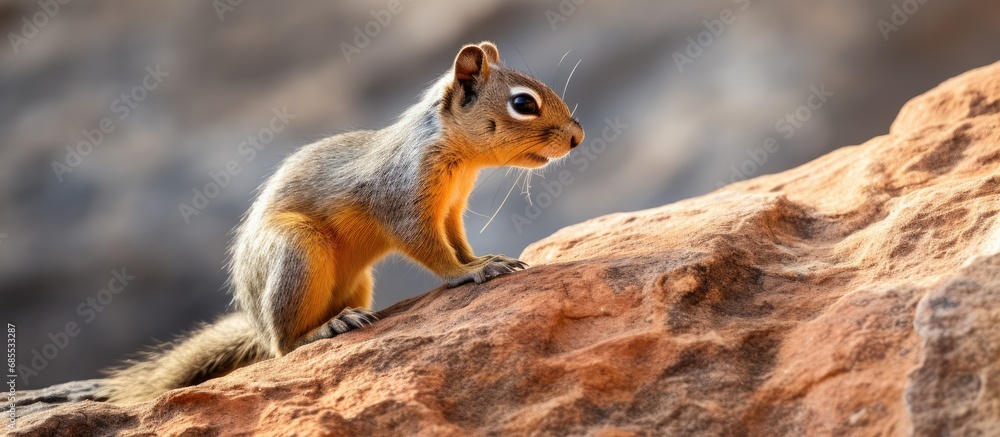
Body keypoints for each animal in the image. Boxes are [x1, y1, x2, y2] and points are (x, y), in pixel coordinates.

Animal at [98, 41, 585, 404]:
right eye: (523, 103)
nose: (578, 137)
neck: (457, 157)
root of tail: (256, 323)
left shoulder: (450, 211)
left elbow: (458, 242)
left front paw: (486, 259)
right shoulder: (403, 204)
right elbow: (432, 250)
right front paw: (467, 273)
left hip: (356, 281)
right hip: (296, 250)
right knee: (284, 347)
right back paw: (327, 328)